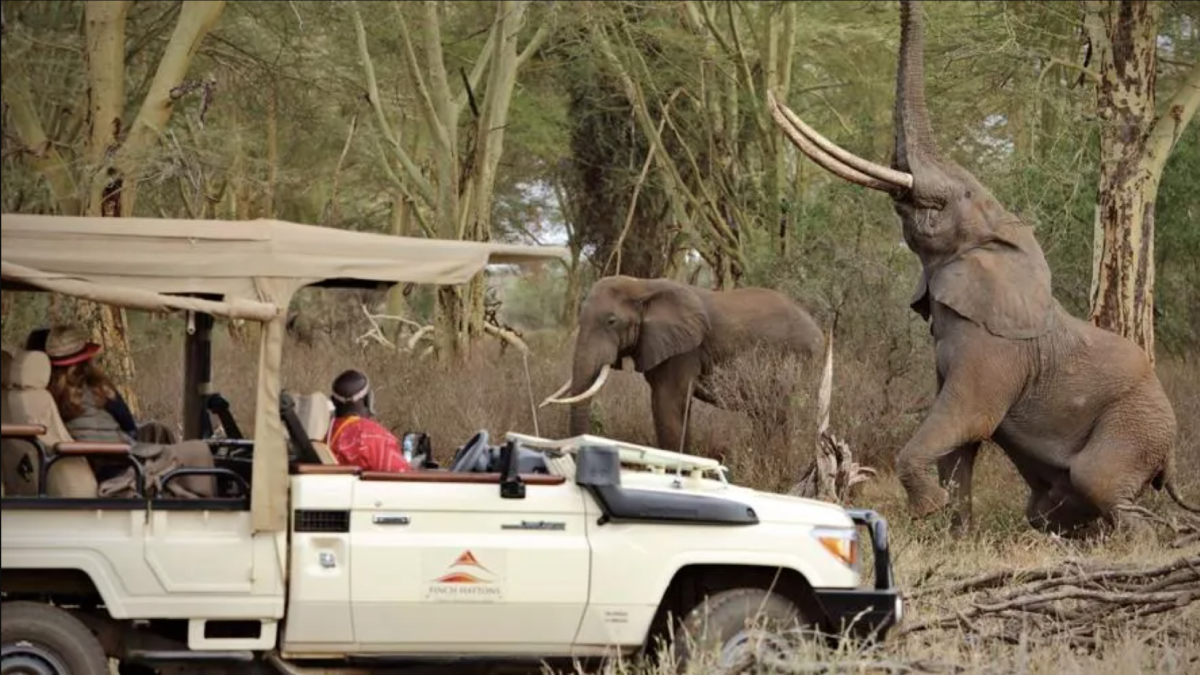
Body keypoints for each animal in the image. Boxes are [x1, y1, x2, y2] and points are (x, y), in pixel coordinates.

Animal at [542, 273, 825, 451]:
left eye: (612, 321)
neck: (642, 285)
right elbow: (677, 408)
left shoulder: (685, 350)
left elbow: (667, 403)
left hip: (799, 357)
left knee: (779, 412)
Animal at [763, 0, 1195, 535]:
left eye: (962, 194)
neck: (1002, 244)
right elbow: (958, 443)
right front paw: (955, 529)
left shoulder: (994, 354)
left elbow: (966, 418)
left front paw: (928, 510)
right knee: (1050, 507)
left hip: (1136, 424)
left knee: (1099, 482)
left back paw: (1144, 539)